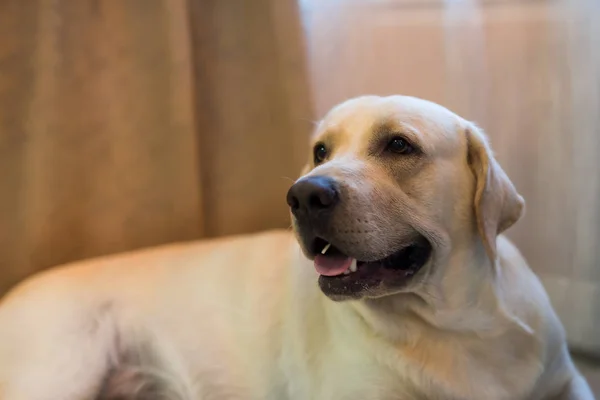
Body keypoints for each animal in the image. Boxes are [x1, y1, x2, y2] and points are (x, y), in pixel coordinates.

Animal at [0, 97, 592, 400]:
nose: (304, 195)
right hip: (58, 371)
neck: (454, 324)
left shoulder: (568, 384)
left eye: (400, 145)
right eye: (321, 151)